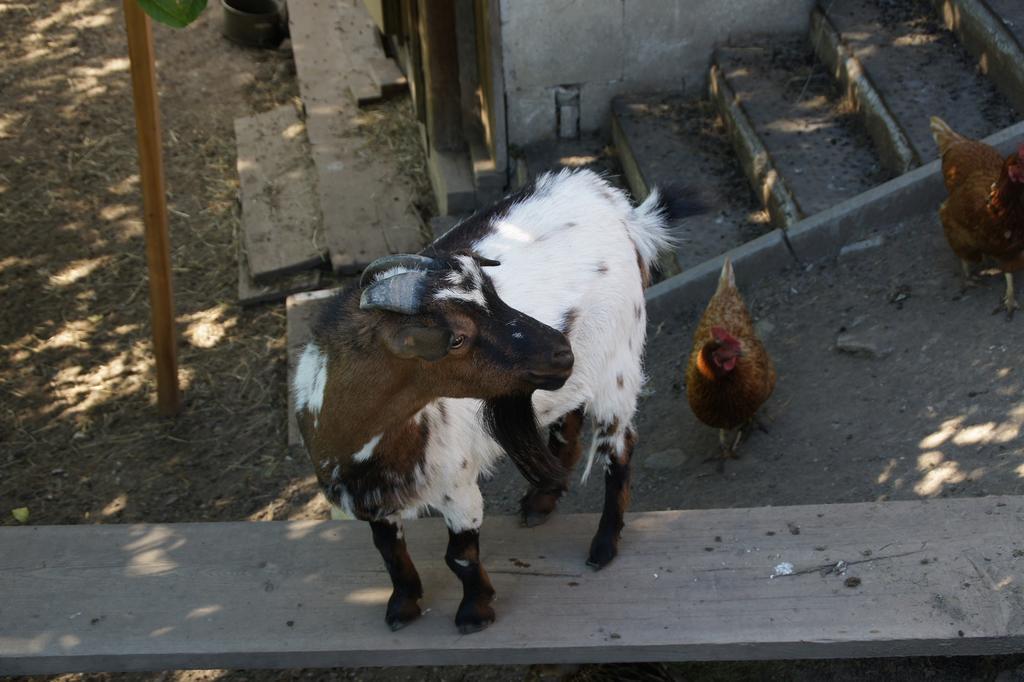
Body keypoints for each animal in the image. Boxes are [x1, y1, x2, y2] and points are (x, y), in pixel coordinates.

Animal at [292, 165, 700, 630]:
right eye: (455, 338)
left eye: (493, 292)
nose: (561, 351)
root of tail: (623, 210)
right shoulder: (372, 502)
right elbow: (390, 553)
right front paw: (403, 605)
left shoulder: (458, 486)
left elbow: (459, 556)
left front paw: (475, 611)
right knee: (569, 418)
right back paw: (542, 500)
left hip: (618, 363)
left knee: (619, 446)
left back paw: (603, 546)